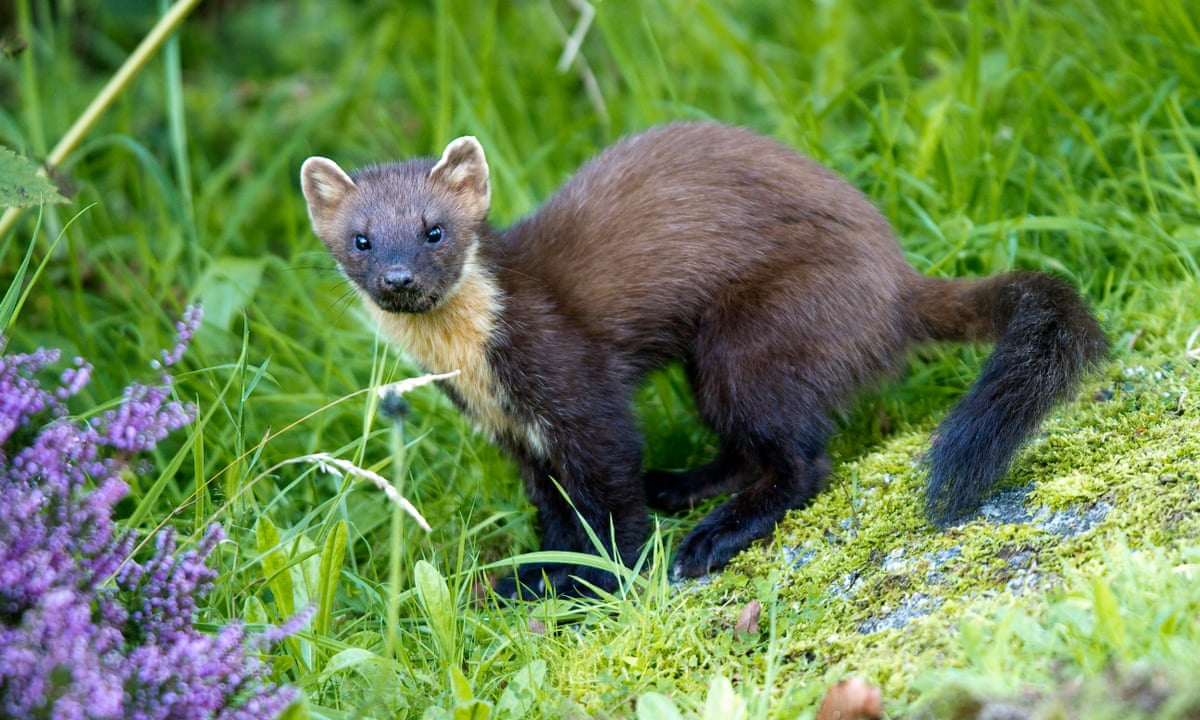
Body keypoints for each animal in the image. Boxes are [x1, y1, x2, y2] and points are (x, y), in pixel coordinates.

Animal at [301, 122, 1109, 599]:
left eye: (435, 230)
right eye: (361, 239)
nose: (399, 279)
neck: (475, 367)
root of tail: (895, 281)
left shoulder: (579, 392)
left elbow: (610, 497)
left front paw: (589, 581)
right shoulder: (513, 433)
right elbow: (554, 510)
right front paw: (540, 574)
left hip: (747, 340)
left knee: (798, 463)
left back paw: (710, 536)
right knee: (747, 451)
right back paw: (680, 485)